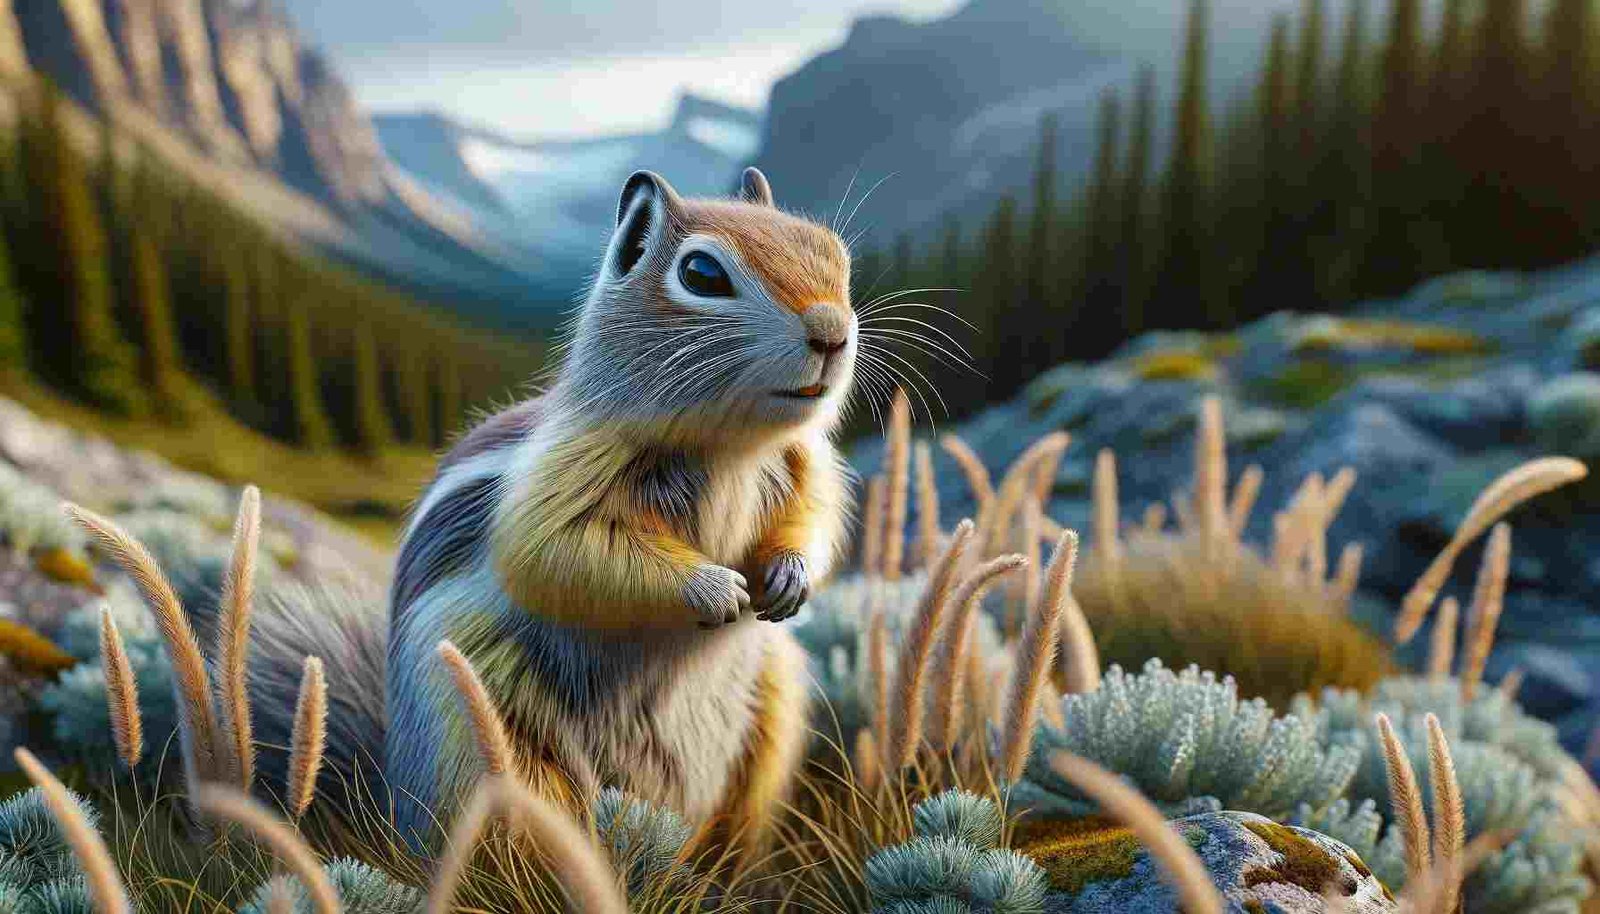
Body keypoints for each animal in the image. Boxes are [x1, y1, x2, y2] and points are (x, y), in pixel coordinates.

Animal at [220, 167, 856, 853]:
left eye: (834, 253)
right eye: (703, 273)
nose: (831, 332)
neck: (730, 448)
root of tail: (393, 790)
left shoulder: (806, 464)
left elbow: (812, 520)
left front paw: (789, 575)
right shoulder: (562, 476)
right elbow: (560, 553)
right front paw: (714, 588)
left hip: (774, 701)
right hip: (481, 739)